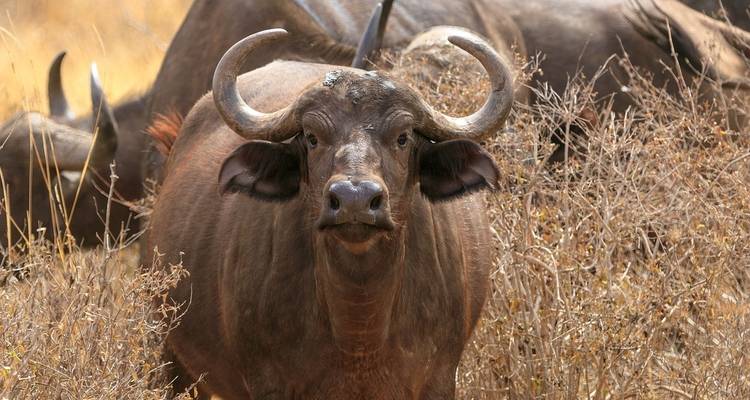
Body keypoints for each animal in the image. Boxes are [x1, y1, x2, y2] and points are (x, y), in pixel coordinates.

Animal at [147, 27, 512, 399]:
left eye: (403, 137)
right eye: (311, 137)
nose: (355, 199)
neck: (359, 327)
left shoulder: (439, 378)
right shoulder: (267, 382)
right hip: (172, 355)